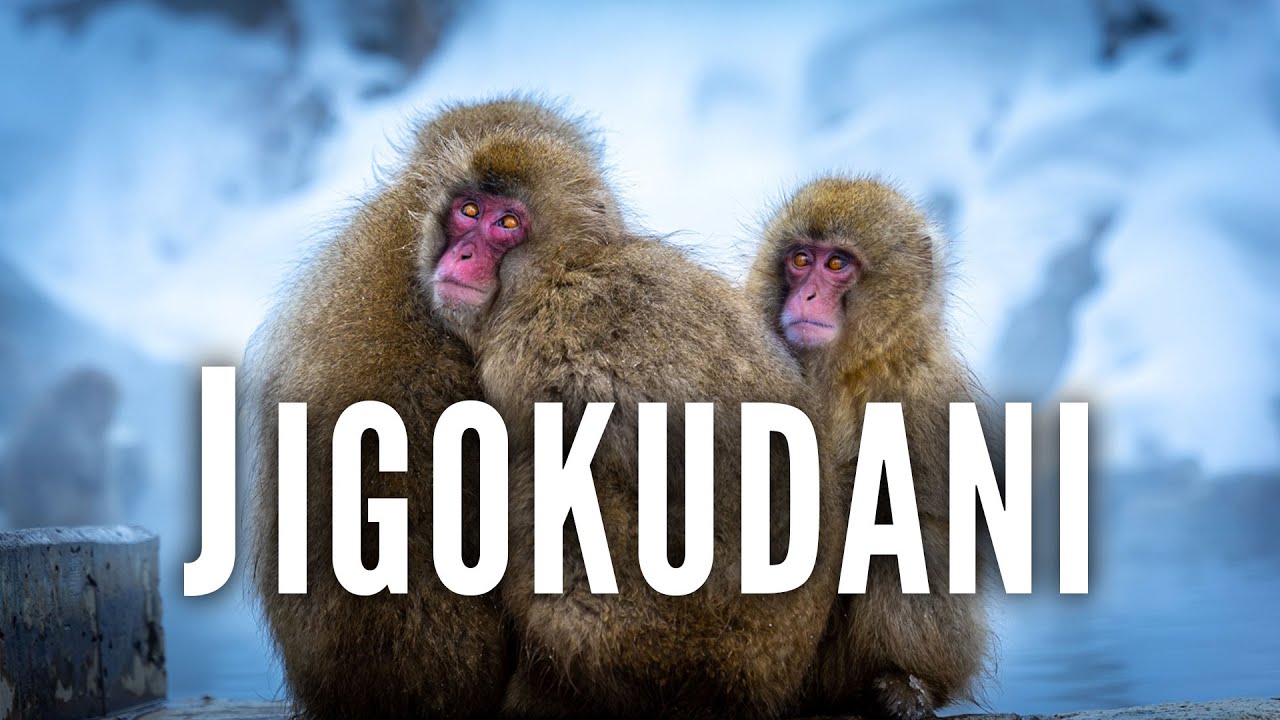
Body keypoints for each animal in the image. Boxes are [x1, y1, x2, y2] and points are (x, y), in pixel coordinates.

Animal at [412, 98, 840, 719]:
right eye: (468, 210)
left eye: (507, 223)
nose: (461, 253)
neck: (558, 273)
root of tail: (750, 687)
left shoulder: (534, 352)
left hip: (657, 640)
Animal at [744, 177, 997, 719]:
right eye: (801, 259)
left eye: (837, 264)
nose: (807, 294)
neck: (836, 368)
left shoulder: (929, 391)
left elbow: (930, 514)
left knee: (907, 537)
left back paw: (904, 684)